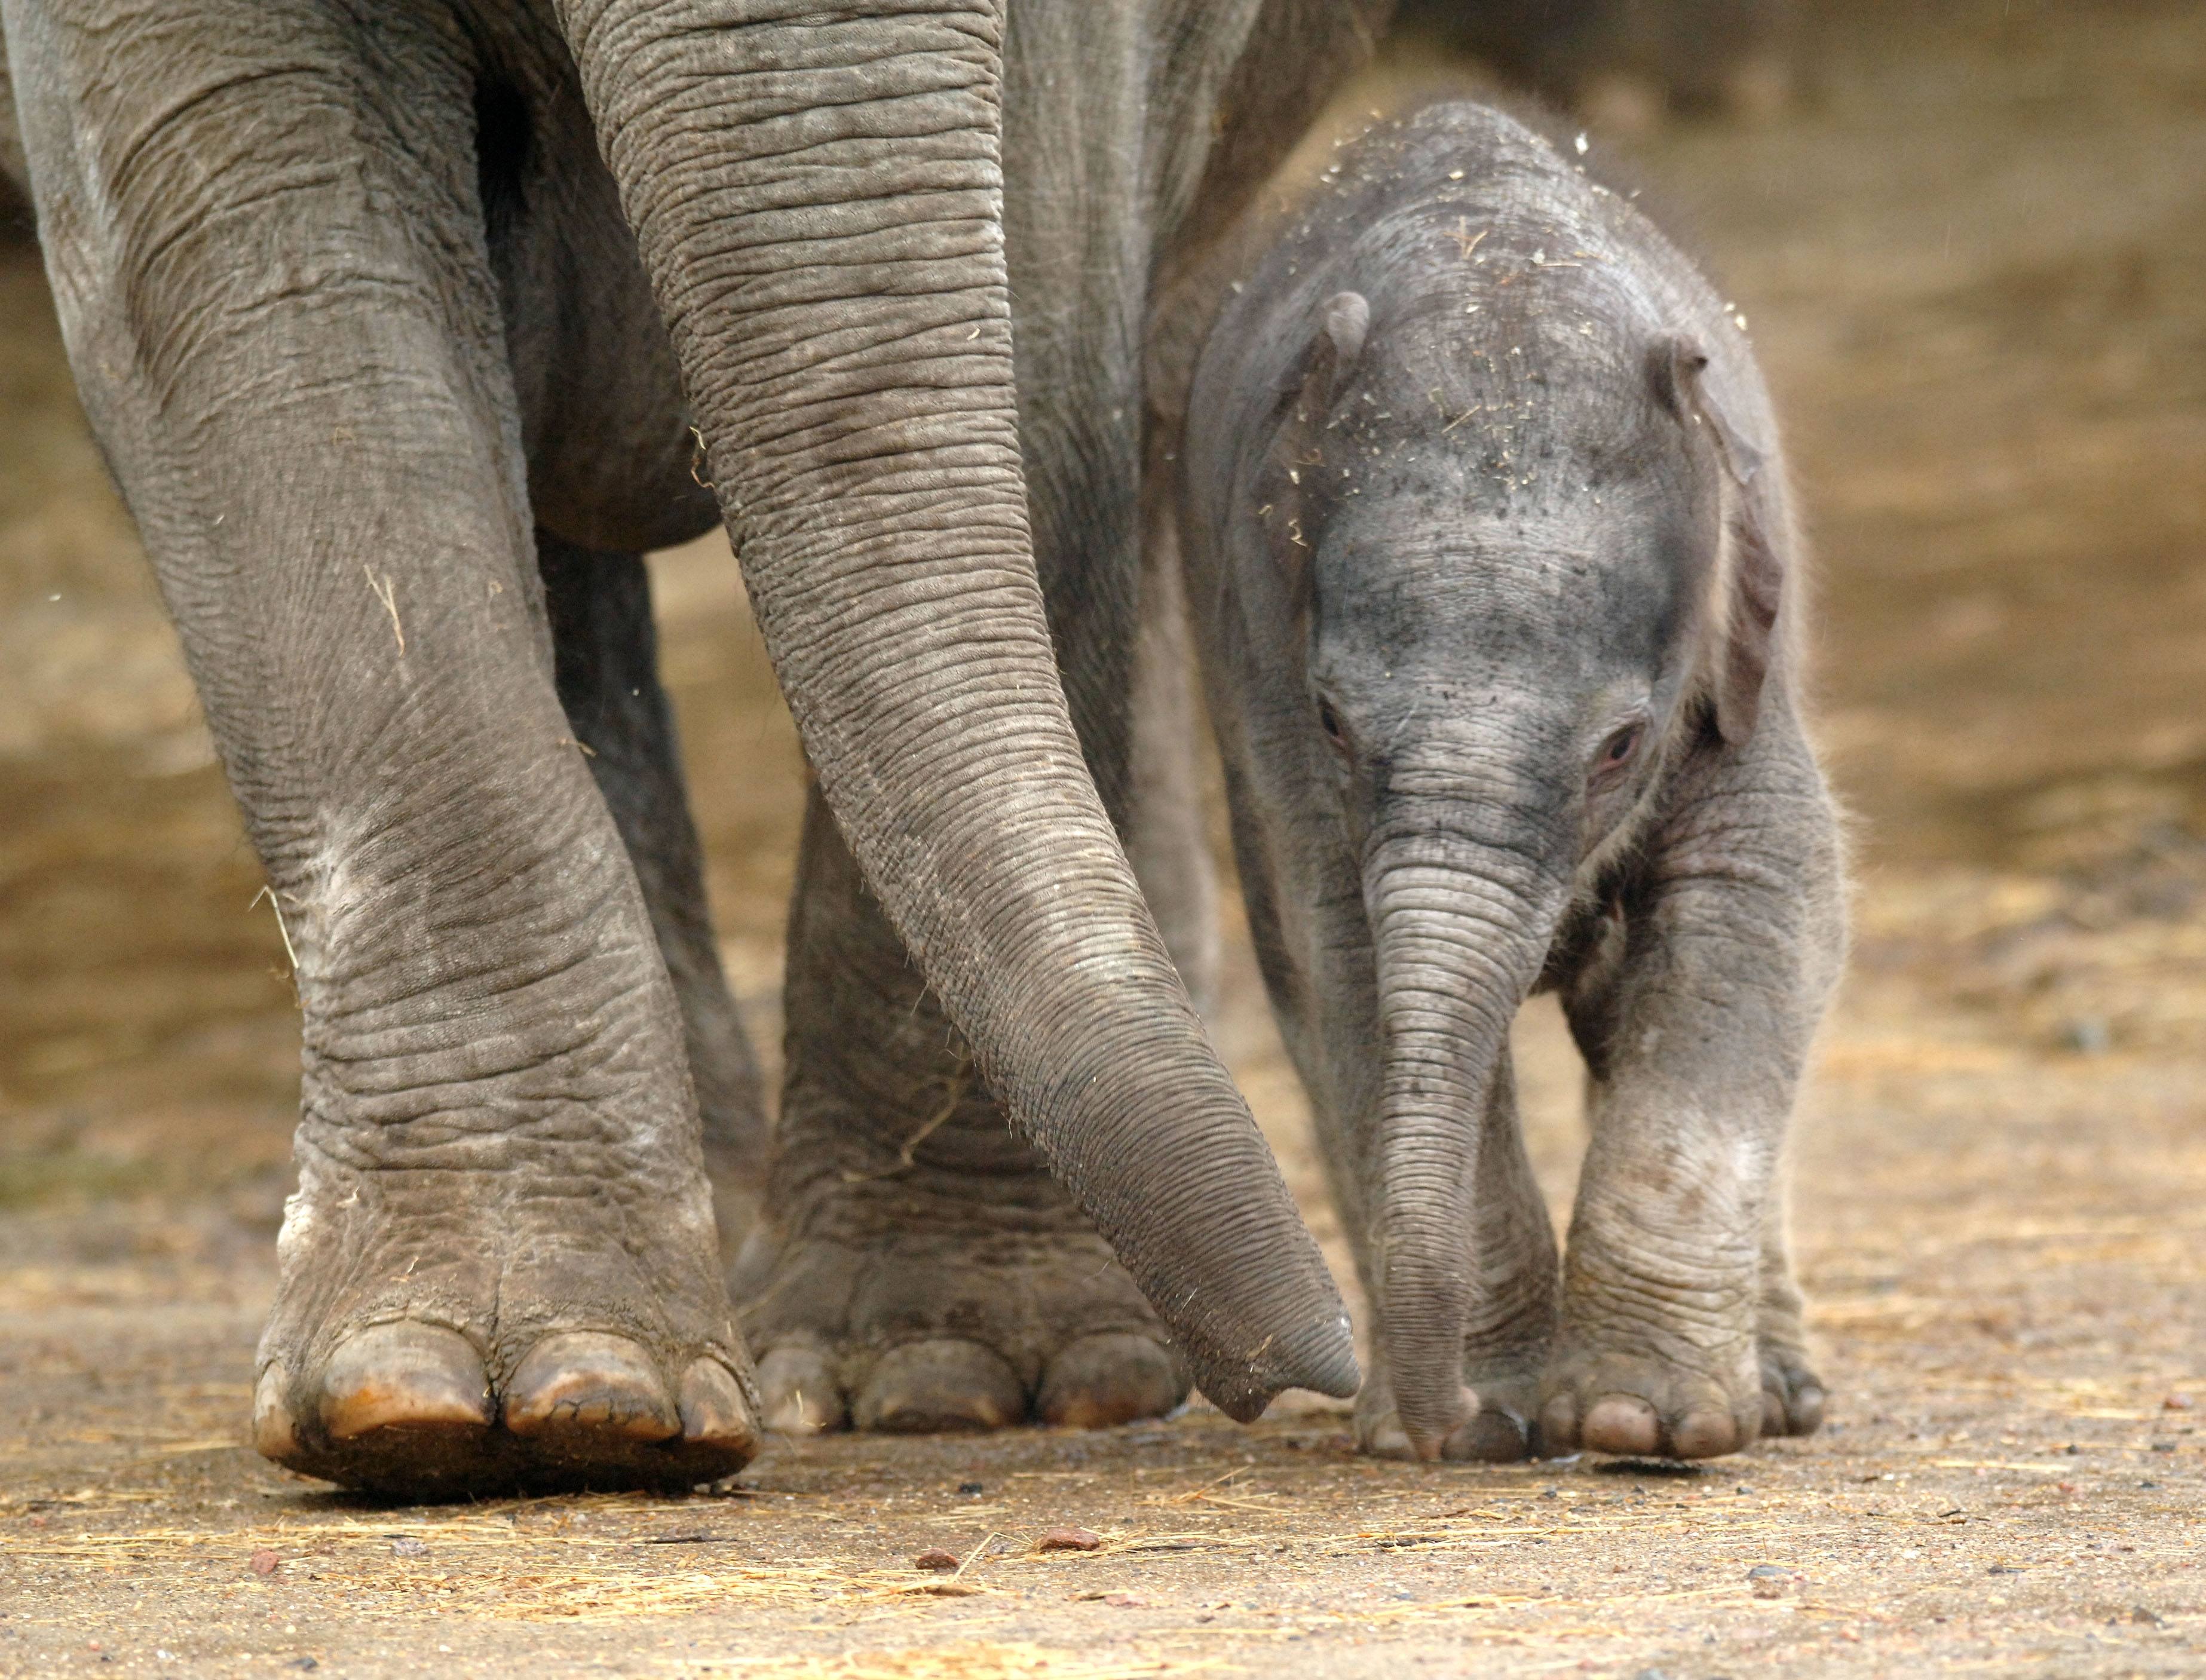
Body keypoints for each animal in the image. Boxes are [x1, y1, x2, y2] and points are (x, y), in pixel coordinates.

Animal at [1171, 100, 1845, 1463]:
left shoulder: (1738, 663)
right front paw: (1478, 1416)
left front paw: (1645, 1423)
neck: (1503, 274)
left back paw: (1784, 1398)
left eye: (1620, 747)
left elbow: (1766, 899)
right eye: (1332, 721)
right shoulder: (1264, 683)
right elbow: (1344, 956)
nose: (1468, 1431)